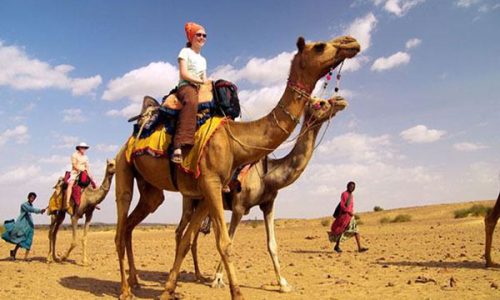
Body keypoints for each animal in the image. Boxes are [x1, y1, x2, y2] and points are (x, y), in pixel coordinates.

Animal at [178, 95, 350, 290]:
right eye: (320, 102)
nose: (341, 100)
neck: (267, 177)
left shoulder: (268, 204)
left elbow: (272, 244)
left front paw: (283, 284)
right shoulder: (239, 207)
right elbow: (230, 239)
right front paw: (218, 279)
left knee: (193, 237)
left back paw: (198, 275)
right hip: (189, 201)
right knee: (181, 231)